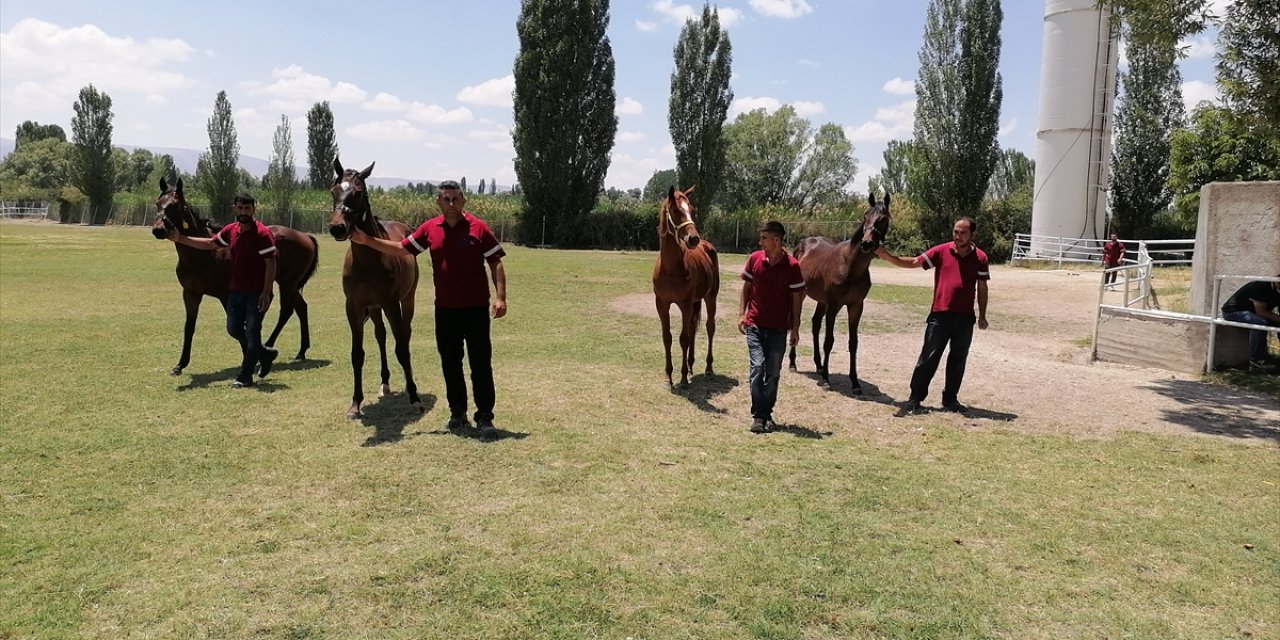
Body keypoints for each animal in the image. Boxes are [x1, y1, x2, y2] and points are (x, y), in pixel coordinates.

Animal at [151, 176, 318, 373]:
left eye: (175, 205)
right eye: (158, 203)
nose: (158, 230)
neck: (204, 254)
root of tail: (306, 237)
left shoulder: (227, 296)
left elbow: (238, 328)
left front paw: (251, 359)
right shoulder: (191, 294)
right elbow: (189, 327)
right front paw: (180, 364)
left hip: (288, 284)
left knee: (287, 310)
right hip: (288, 285)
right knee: (300, 308)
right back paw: (299, 351)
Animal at [327, 158, 422, 419]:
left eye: (358, 192)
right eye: (333, 190)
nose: (338, 228)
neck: (369, 260)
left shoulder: (391, 304)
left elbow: (401, 349)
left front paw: (414, 398)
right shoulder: (354, 307)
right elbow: (357, 354)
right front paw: (355, 404)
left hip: (406, 300)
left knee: (405, 334)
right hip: (376, 308)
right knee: (381, 336)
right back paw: (385, 383)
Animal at [655, 185, 716, 384]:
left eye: (692, 209)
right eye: (675, 210)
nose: (693, 239)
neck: (671, 268)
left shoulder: (685, 304)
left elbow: (683, 339)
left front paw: (682, 379)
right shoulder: (662, 304)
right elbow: (667, 337)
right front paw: (668, 375)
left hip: (710, 297)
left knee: (709, 328)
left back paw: (708, 368)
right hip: (695, 302)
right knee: (692, 329)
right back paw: (690, 366)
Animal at [783, 192, 896, 391]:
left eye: (883, 219)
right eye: (865, 216)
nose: (866, 243)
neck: (850, 266)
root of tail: (803, 243)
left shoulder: (856, 306)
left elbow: (853, 343)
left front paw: (855, 382)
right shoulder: (834, 305)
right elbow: (829, 341)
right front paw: (826, 380)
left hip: (821, 301)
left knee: (815, 324)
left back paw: (819, 365)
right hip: (801, 294)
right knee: (796, 321)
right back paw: (793, 364)